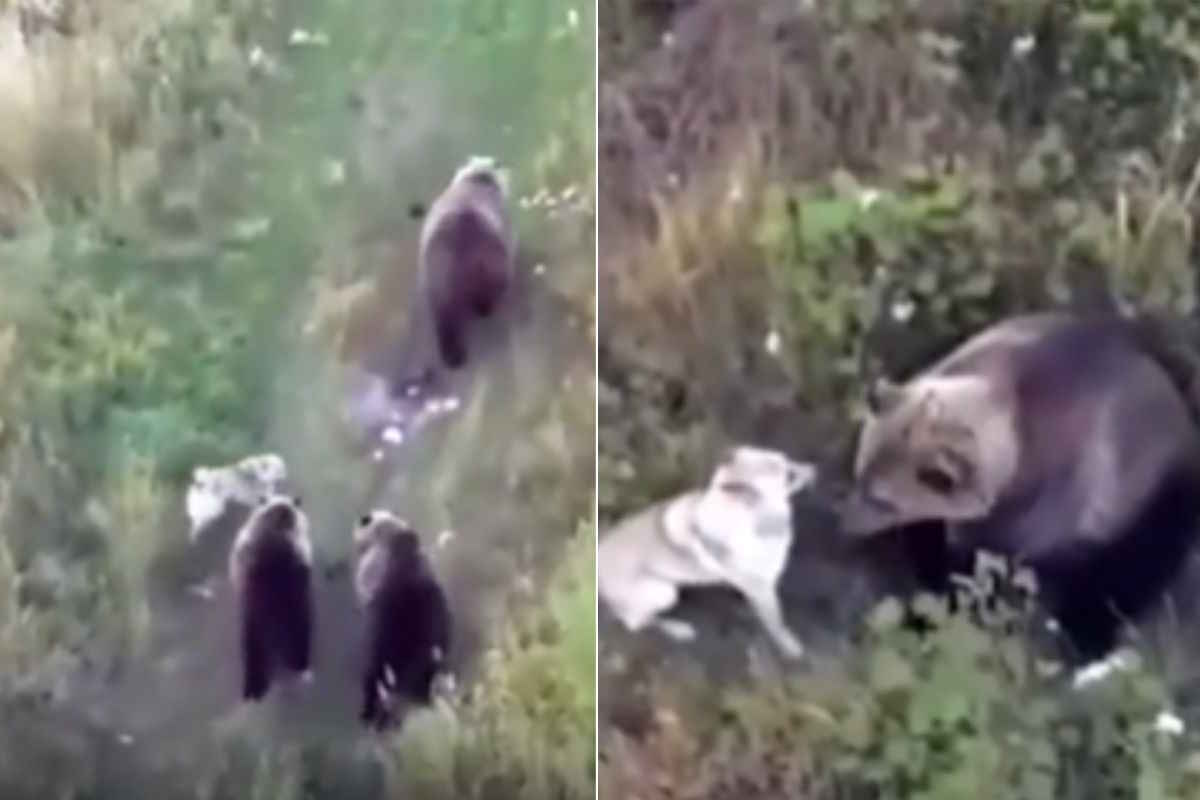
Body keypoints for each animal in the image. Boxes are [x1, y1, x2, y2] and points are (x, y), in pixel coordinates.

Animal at [597, 448, 816, 662]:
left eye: (786, 460)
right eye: (788, 474)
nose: (814, 469)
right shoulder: (762, 589)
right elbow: (776, 621)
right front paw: (788, 645)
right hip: (665, 592)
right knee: (635, 622)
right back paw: (677, 629)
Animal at [840, 311, 1200, 662]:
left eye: (883, 500)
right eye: (860, 472)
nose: (846, 522)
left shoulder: (1042, 505)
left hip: (1154, 503)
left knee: (1127, 574)